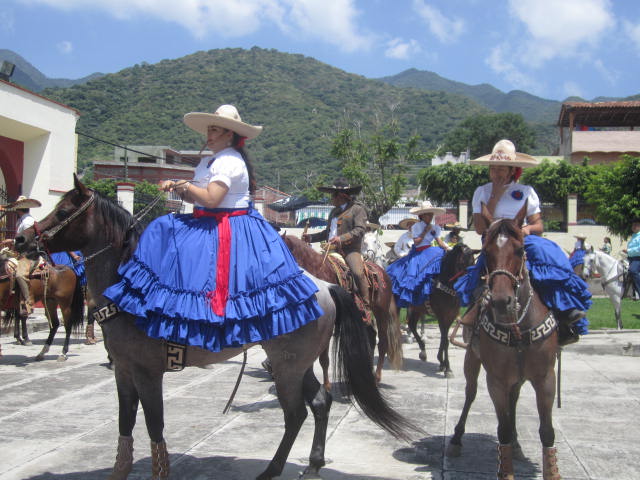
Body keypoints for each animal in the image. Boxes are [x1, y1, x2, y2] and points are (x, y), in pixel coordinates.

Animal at [282, 233, 402, 386]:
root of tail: (383, 272)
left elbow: (323, 358)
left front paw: (326, 386)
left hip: (382, 313)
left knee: (383, 343)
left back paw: (376, 378)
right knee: (371, 337)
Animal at [402, 246, 478, 376]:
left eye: (473, 262)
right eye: (462, 263)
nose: (470, 287)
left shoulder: (450, 316)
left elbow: (444, 339)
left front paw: (442, 364)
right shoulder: (441, 316)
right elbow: (445, 341)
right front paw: (447, 368)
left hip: (417, 309)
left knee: (411, 324)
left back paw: (423, 352)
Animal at [448, 208, 564, 480]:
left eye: (520, 249)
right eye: (486, 250)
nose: (502, 301)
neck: (518, 329)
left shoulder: (546, 378)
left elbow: (547, 431)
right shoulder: (497, 379)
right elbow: (501, 430)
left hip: (518, 376)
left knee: (514, 399)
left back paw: (518, 442)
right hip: (472, 359)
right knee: (470, 393)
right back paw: (457, 439)